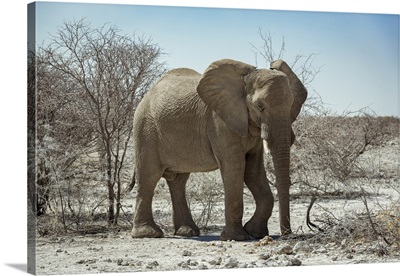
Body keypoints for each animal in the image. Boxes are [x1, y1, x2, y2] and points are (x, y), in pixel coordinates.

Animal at [130, 58, 306, 242]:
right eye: (260, 106)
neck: (243, 82)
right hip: (145, 128)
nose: (287, 234)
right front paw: (237, 237)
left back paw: (188, 232)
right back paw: (148, 234)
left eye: (291, 105)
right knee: (149, 176)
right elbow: (234, 167)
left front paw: (255, 232)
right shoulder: (219, 122)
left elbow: (253, 171)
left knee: (178, 181)